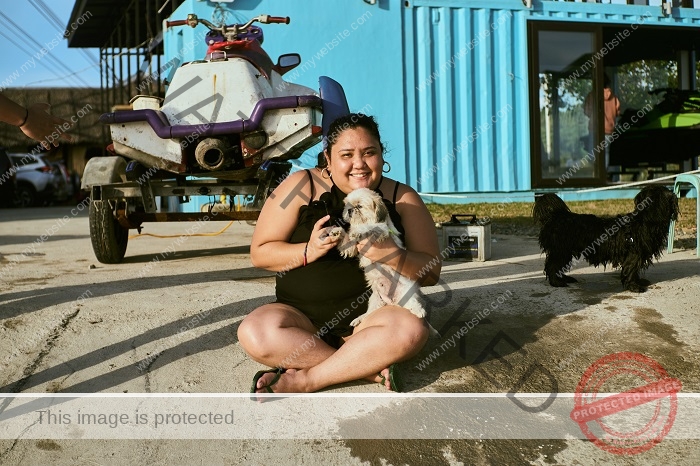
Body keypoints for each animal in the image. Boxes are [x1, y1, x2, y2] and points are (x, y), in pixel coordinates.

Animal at [536, 185, 680, 292]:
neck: (646, 219)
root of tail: (557, 215)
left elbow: (634, 271)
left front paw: (638, 282)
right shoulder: (633, 255)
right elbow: (631, 270)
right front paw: (633, 286)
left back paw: (565, 279)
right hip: (561, 251)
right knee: (552, 266)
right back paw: (557, 282)